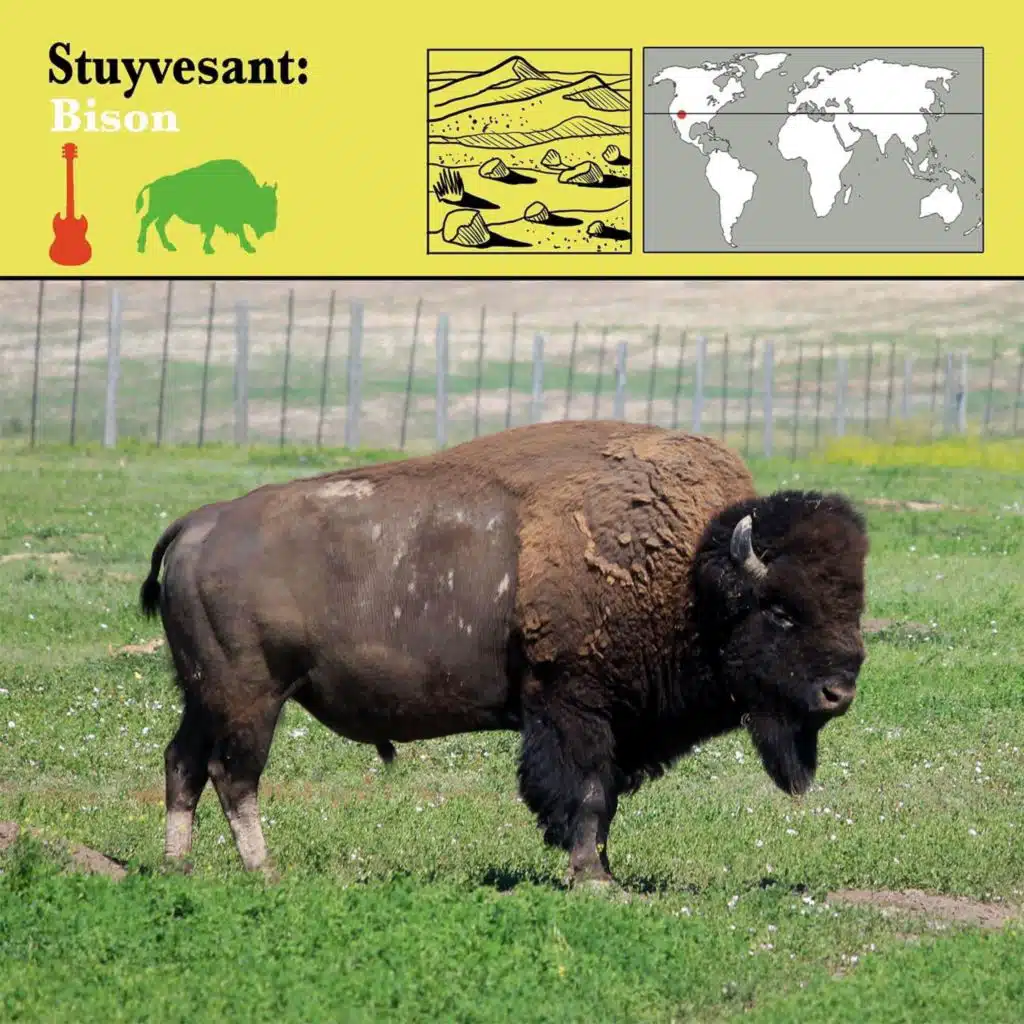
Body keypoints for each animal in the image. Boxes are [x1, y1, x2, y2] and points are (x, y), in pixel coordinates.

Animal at [140, 421, 868, 885]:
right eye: (780, 610)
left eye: (853, 604)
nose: (840, 691)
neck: (689, 574)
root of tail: (198, 524)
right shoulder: (573, 708)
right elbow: (587, 795)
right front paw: (593, 878)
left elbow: (604, 802)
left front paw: (602, 870)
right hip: (251, 696)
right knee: (235, 774)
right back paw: (264, 871)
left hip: (203, 694)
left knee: (183, 763)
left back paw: (178, 866)